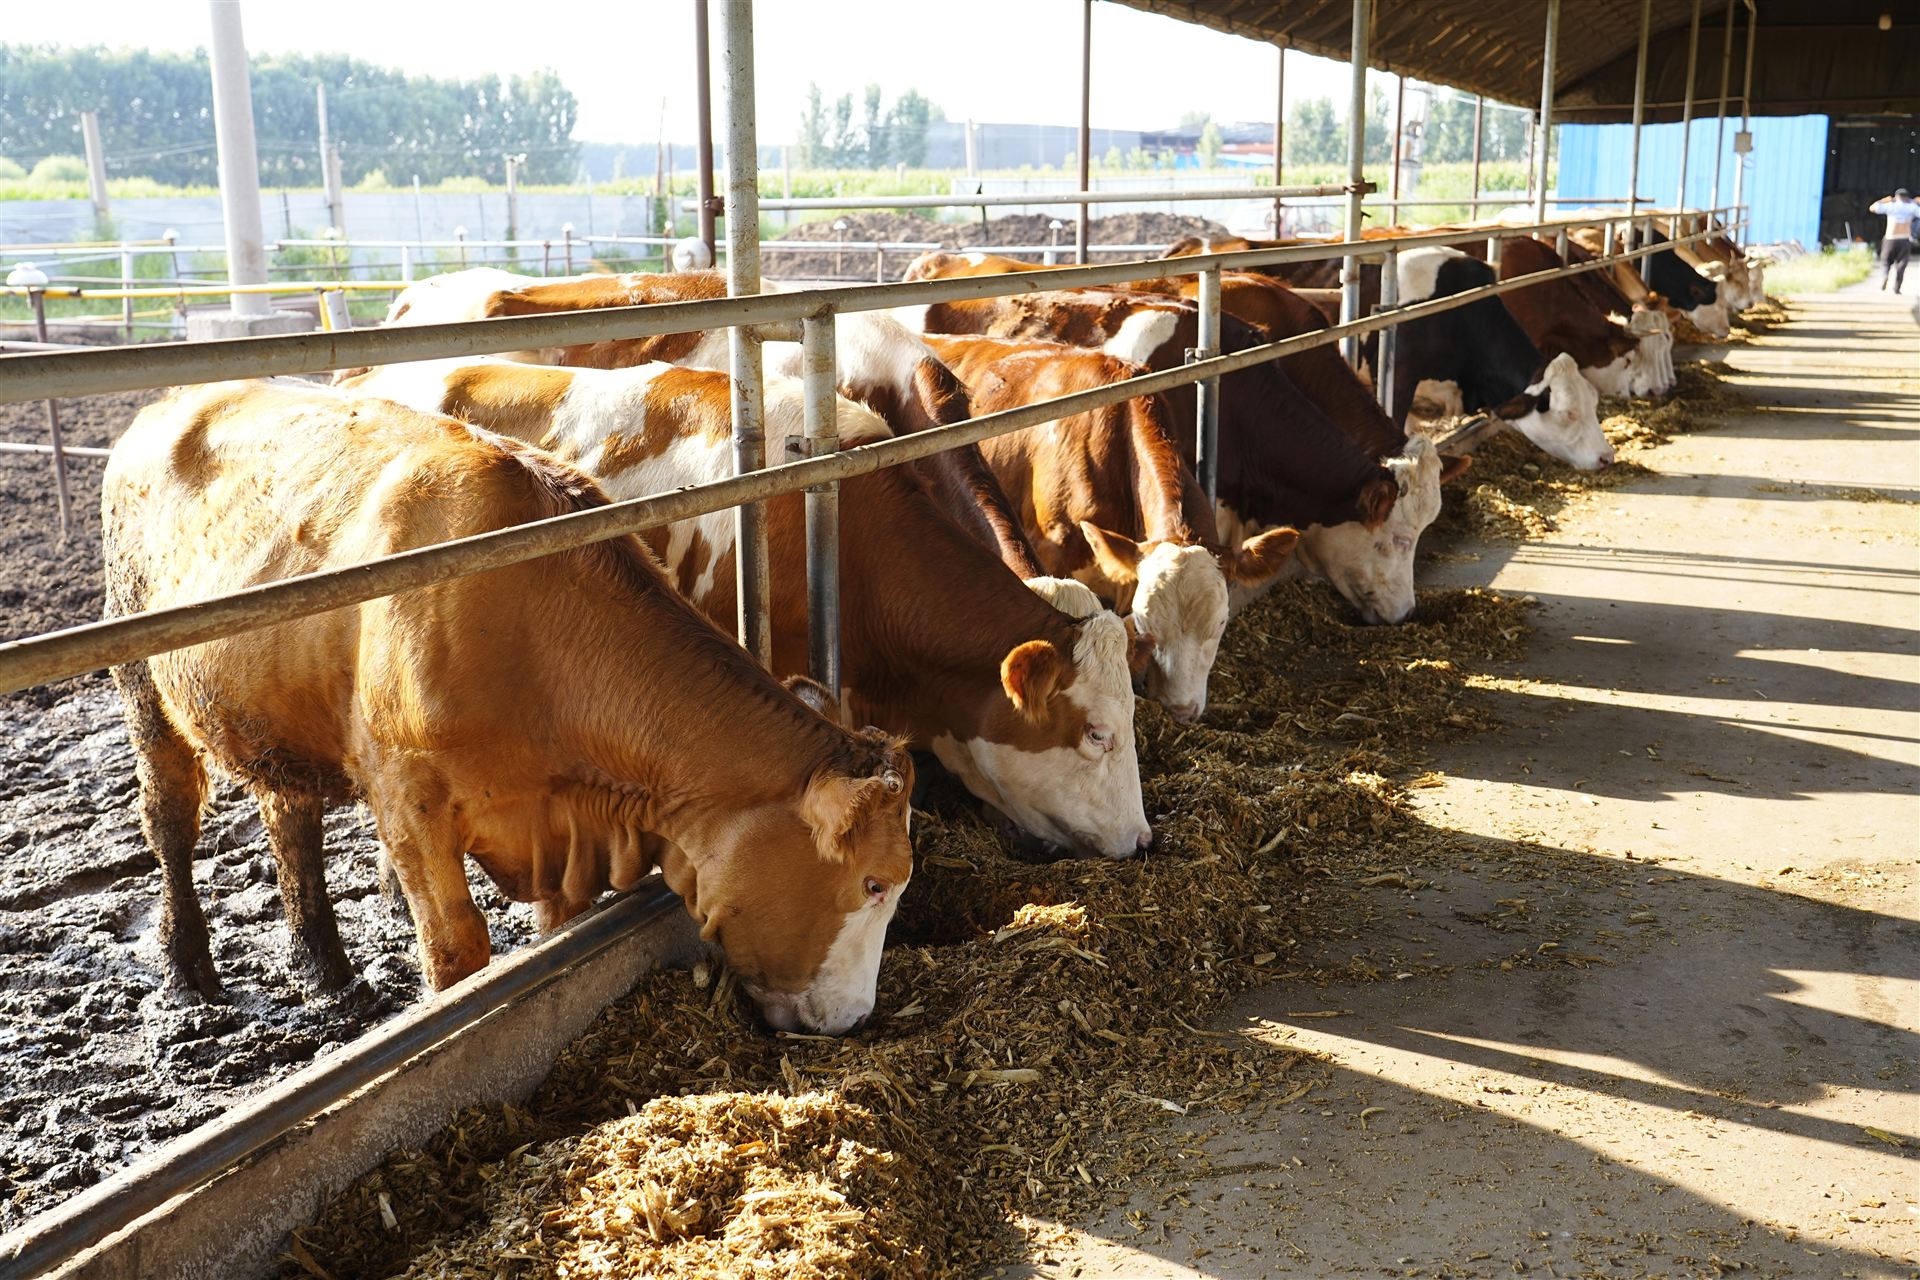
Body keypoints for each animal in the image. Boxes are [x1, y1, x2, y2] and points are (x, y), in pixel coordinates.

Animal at [102, 380, 916, 1035]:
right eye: (874, 883)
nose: (857, 1018)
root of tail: (163, 403)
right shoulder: (407, 801)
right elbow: (457, 952)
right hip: (141, 678)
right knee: (170, 816)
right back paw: (188, 972)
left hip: (273, 712)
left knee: (288, 817)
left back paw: (323, 966)